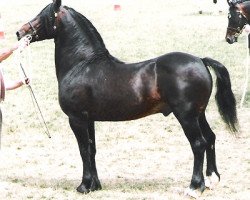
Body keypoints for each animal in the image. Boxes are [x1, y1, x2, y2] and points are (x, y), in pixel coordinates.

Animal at [16, 0, 238, 197]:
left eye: (44, 15)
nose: (20, 32)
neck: (82, 65)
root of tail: (200, 60)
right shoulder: (89, 119)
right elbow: (92, 149)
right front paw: (95, 185)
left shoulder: (76, 119)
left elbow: (83, 150)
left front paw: (84, 186)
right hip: (199, 114)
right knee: (210, 138)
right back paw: (211, 180)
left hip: (186, 116)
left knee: (198, 144)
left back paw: (194, 187)